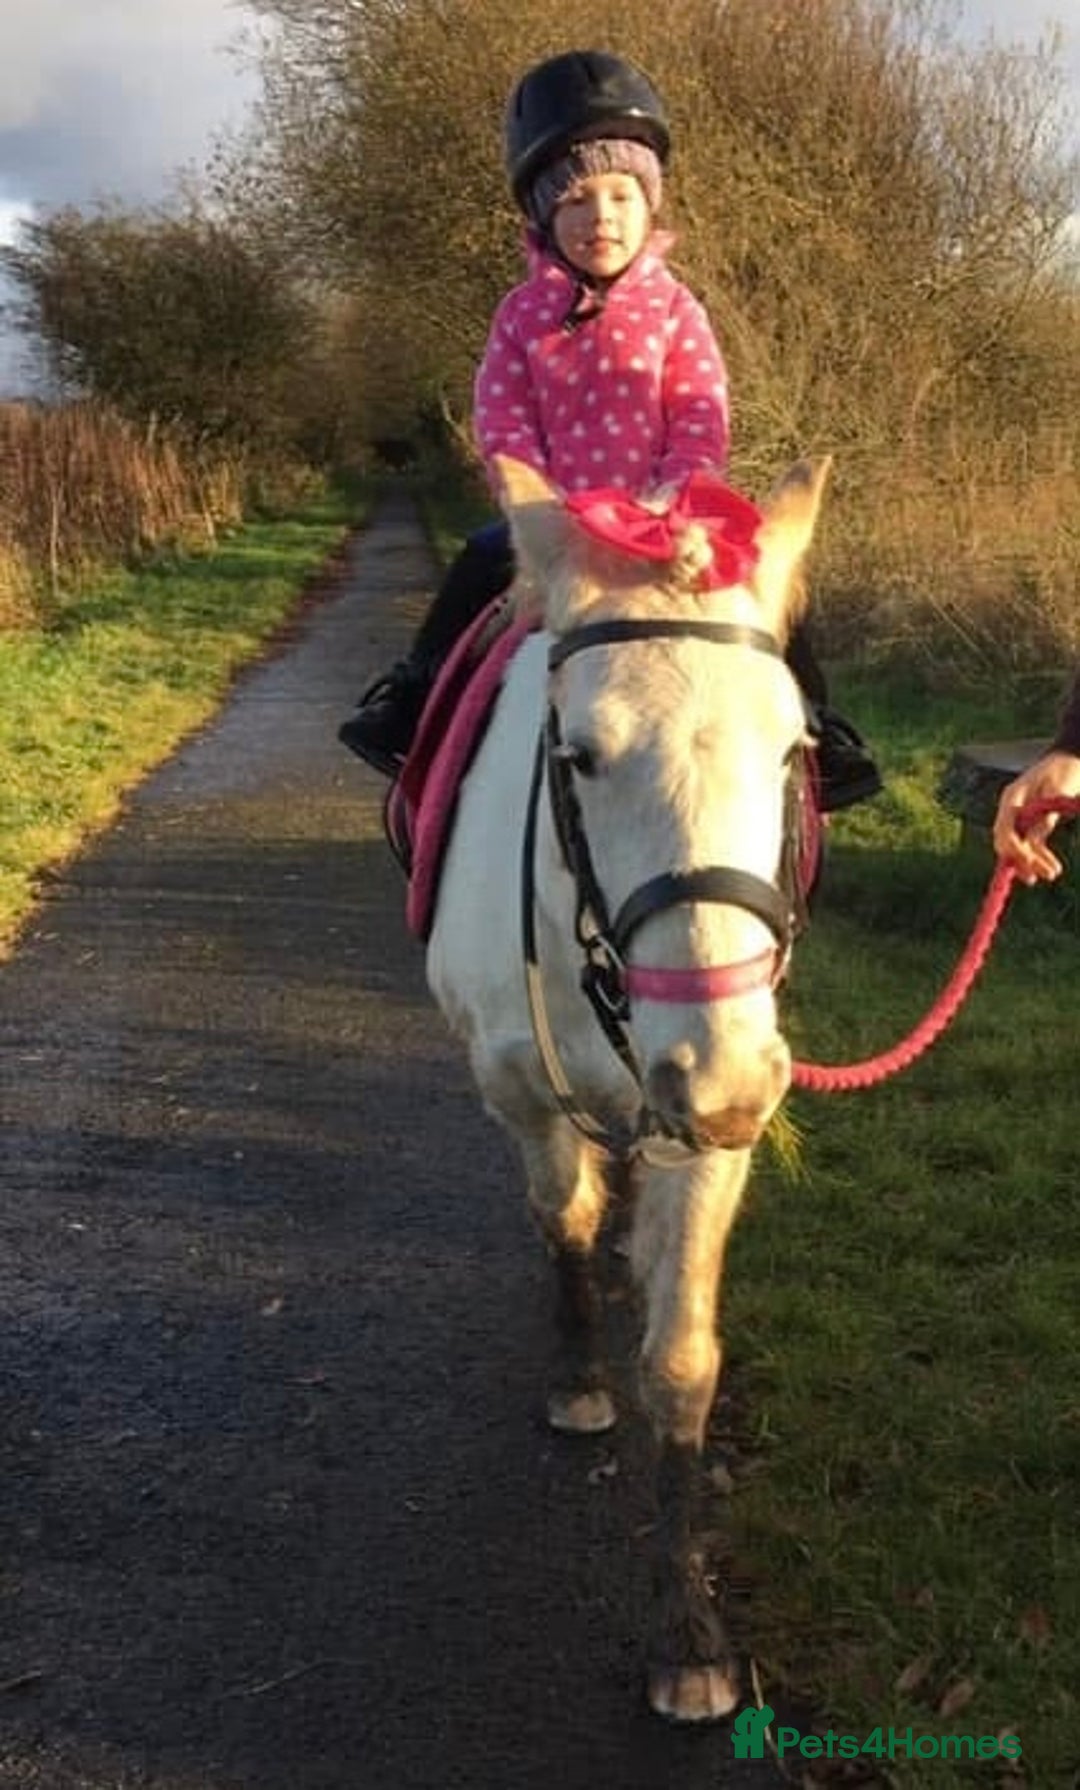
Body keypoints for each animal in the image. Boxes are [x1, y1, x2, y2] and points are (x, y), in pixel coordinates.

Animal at [425, 453, 829, 1721]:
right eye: (581, 757)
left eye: (792, 751)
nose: (728, 1078)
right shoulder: (520, 1088)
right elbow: (561, 1218)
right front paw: (580, 1376)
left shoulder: (707, 1134)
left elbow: (683, 1363)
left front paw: (688, 1631)